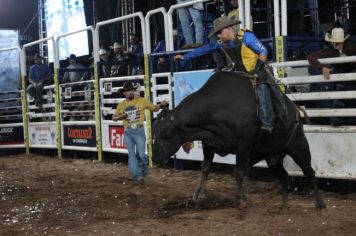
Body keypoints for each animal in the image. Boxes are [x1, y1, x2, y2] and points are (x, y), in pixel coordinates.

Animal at [152, 71, 326, 209]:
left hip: (299, 146)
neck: (217, 108)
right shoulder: (208, 143)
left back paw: (320, 204)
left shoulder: (243, 145)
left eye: (167, 133)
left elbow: (238, 172)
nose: (155, 158)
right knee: (284, 177)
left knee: (310, 172)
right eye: (154, 132)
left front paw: (241, 200)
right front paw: (199, 195)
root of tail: (295, 110)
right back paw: (284, 206)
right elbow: (205, 168)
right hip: (273, 157)